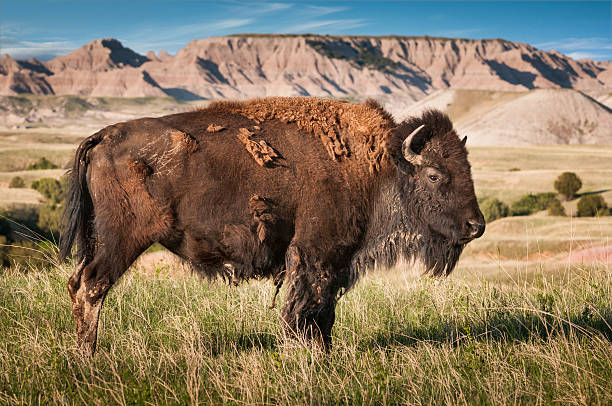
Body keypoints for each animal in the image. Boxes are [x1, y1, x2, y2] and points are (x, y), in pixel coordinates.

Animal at [59, 96, 486, 354]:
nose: (476, 225)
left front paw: (322, 353)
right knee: (92, 286)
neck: (379, 167)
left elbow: (324, 311)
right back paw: (88, 358)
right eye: (434, 174)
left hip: (102, 238)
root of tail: (103, 136)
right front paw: (307, 354)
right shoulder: (317, 253)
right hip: (122, 238)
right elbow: (307, 307)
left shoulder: (333, 261)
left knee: (78, 282)